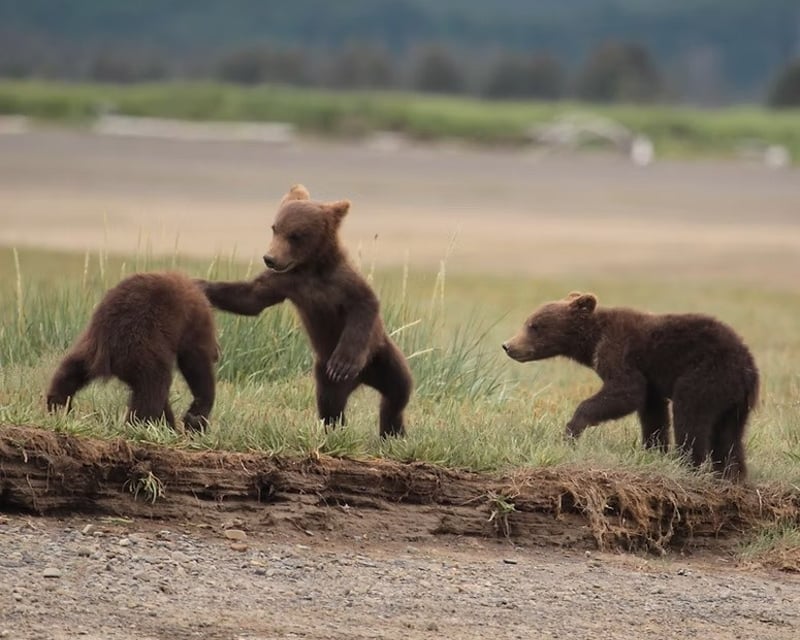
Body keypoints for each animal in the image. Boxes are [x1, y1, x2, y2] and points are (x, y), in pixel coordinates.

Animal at [47, 271, 218, 431]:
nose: (218, 354)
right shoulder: (190, 326)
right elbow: (196, 364)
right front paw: (196, 417)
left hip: (92, 346)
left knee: (70, 371)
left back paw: (57, 406)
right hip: (142, 349)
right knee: (152, 390)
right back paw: (141, 425)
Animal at [195, 184, 413, 437]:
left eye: (295, 235)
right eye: (275, 228)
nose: (269, 258)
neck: (311, 268)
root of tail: (361, 380)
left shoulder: (341, 281)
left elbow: (365, 304)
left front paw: (343, 363)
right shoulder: (286, 282)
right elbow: (250, 297)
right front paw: (199, 285)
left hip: (381, 356)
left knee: (399, 389)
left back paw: (393, 431)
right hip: (325, 376)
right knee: (330, 405)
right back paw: (337, 429)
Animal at [502, 292, 759, 481]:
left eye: (534, 326)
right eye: (529, 322)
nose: (508, 345)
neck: (593, 341)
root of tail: (748, 369)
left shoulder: (619, 350)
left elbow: (625, 391)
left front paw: (572, 430)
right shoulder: (650, 380)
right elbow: (652, 412)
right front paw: (653, 449)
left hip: (705, 375)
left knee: (690, 416)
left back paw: (687, 464)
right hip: (734, 401)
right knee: (729, 436)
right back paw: (729, 475)